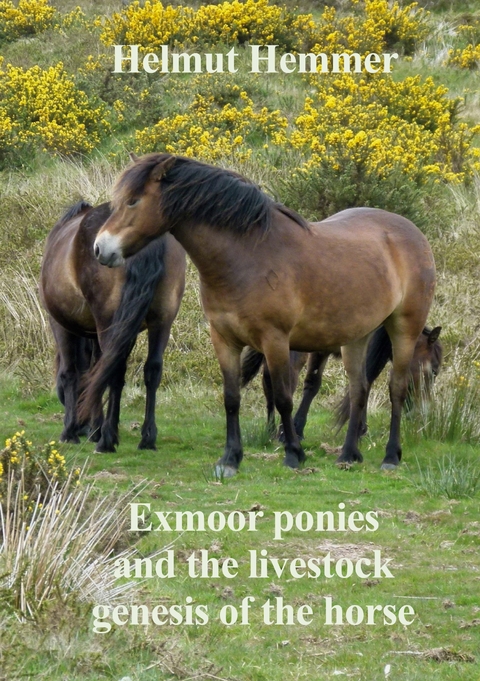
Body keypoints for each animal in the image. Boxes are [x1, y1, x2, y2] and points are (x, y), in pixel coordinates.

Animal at [39, 200, 186, 453]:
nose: (82, 427)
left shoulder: (60, 325)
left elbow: (71, 373)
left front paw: (71, 432)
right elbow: (96, 370)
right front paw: (94, 428)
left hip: (109, 322)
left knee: (113, 369)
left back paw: (107, 440)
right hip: (162, 320)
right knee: (152, 370)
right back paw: (147, 438)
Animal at [241, 325, 442, 440]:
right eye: (434, 370)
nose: (423, 410)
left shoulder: (324, 350)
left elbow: (314, 385)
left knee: (269, 383)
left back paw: (271, 430)